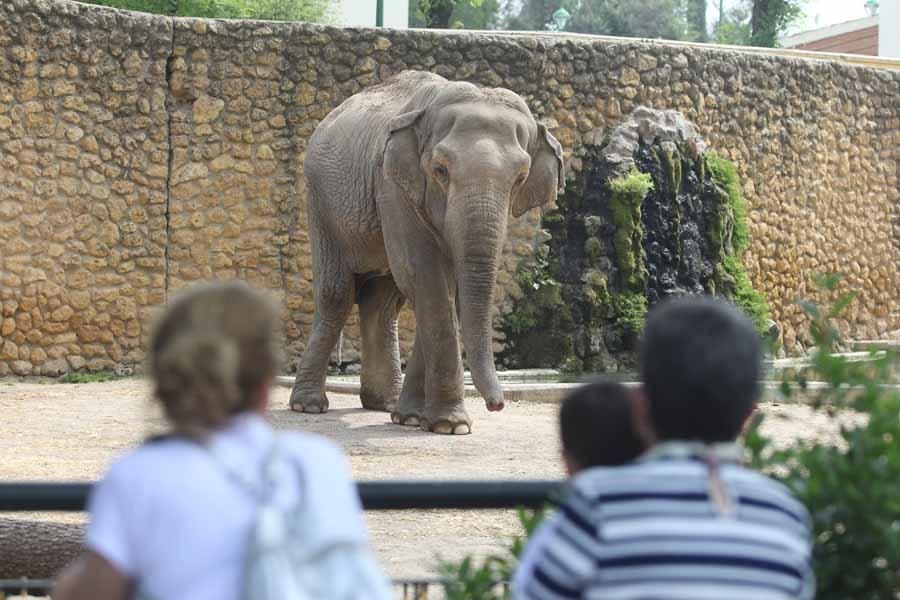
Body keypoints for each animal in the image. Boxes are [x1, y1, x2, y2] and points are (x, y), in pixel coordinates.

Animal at [290, 70, 564, 434]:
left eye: (520, 178)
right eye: (440, 170)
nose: (497, 404)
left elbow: (439, 287)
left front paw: (412, 419)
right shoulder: (391, 184)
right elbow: (426, 277)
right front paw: (451, 426)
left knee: (383, 301)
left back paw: (385, 405)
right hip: (320, 201)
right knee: (337, 293)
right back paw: (308, 405)